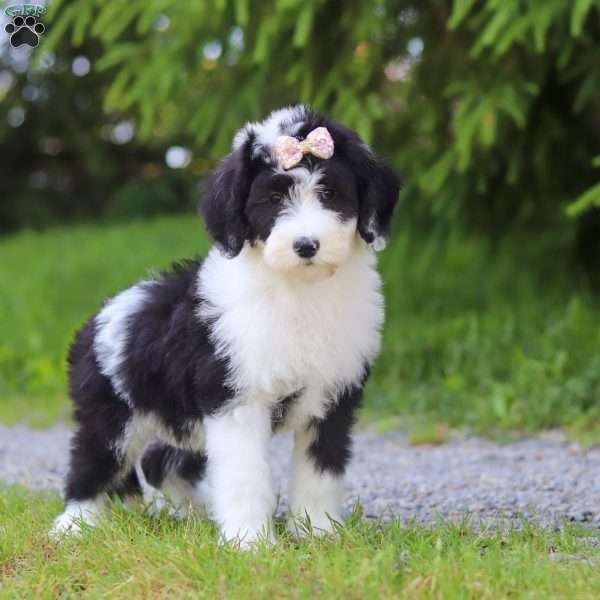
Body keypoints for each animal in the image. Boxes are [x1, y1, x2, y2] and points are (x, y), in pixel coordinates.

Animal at [50, 104, 398, 548]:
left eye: (330, 193)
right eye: (272, 199)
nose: (306, 245)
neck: (296, 289)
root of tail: (94, 322)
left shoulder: (333, 397)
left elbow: (321, 471)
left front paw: (318, 533)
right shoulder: (235, 398)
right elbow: (245, 475)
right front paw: (250, 543)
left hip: (175, 414)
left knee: (161, 461)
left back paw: (193, 512)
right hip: (110, 415)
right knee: (92, 464)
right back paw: (75, 524)